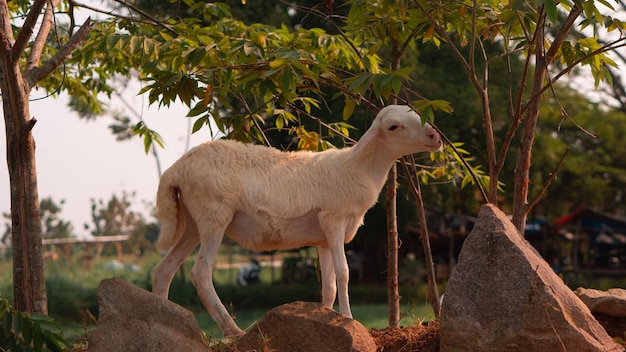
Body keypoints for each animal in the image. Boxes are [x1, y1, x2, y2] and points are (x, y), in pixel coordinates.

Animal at [152, 104, 438, 336]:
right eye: (393, 126)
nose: (435, 137)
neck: (357, 169)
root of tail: (174, 170)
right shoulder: (334, 220)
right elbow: (344, 273)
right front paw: (347, 317)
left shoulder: (323, 239)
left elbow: (329, 286)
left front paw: (324, 319)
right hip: (214, 216)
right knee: (200, 273)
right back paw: (233, 330)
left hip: (192, 222)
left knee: (164, 269)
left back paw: (165, 319)